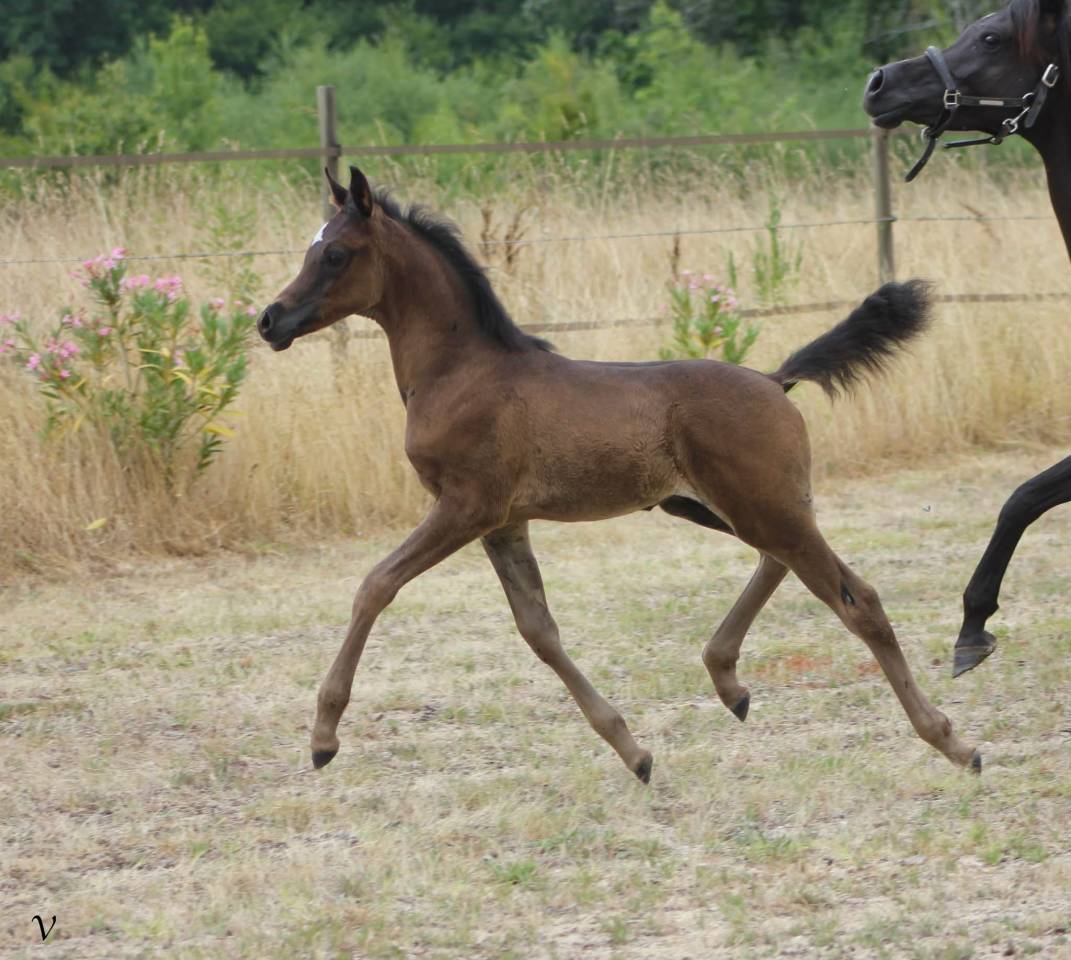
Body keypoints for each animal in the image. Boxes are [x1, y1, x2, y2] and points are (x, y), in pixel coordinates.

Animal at [257, 165, 981, 782]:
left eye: (335, 254)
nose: (268, 320)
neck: (462, 370)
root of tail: (775, 380)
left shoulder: (465, 506)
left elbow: (375, 585)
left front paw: (323, 737)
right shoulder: (503, 522)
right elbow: (539, 630)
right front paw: (633, 750)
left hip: (758, 504)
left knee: (859, 601)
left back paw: (952, 742)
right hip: (719, 505)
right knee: (784, 565)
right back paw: (728, 681)